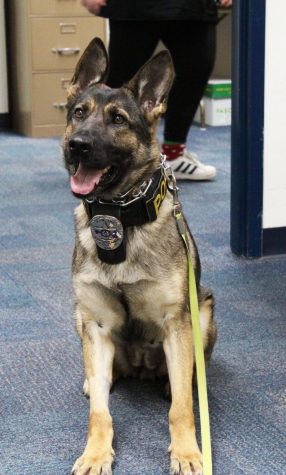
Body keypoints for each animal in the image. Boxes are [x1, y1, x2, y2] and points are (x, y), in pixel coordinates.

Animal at [62, 39, 214, 475]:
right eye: (78, 113)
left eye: (118, 120)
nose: (77, 146)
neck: (117, 217)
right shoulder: (95, 325)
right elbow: (100, 412)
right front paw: (95, 453)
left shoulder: (177, 322)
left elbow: (181, 408)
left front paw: (187, 452)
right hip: (81, 319)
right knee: (102, 377)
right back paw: (96, 379)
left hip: (204, 308)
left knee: (187, 376)